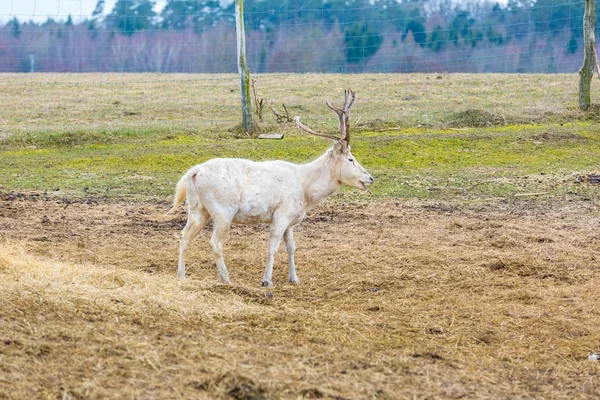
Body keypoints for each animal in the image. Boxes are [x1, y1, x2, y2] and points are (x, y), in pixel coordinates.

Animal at [171, 89, 372, 286]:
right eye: (351, 159)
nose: (370, 178)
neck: (305, 190)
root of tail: (195, 171)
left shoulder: (290, 221)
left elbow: (291, 247)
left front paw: (294, 279)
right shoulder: (281, 215)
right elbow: (272, 247)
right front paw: (267, 281)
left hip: (197, 209)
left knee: (184, 235)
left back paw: (181, 275)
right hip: (223, 211)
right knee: (215, 242)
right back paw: (227, 279)